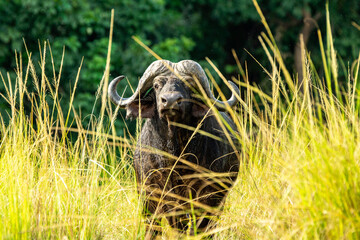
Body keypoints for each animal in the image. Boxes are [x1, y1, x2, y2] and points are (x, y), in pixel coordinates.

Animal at [108, 60, 240, 236]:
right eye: (156, 85)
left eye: (188, 85)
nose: (170, 100)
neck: (174, 154)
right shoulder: (149, 193)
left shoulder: (207, 194)